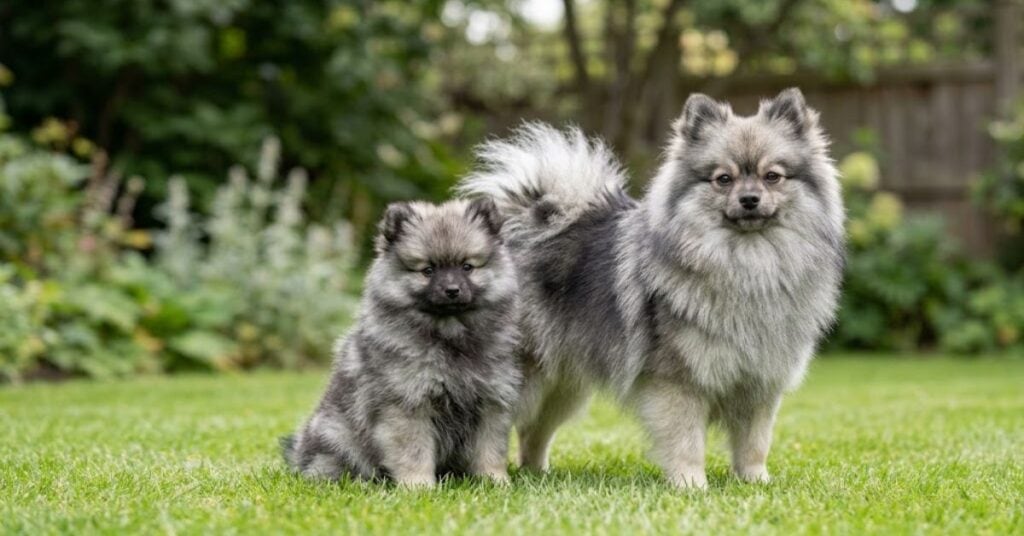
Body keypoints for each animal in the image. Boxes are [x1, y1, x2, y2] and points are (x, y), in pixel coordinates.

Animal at [282, 198, 521, 487]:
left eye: (467, 267)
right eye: (428, 270)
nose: (452, 290)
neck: (449, 336)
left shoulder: (490, 403)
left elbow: (490, 450)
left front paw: (495, 482)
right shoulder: (408, 404)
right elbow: (413, 451)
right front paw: (419, 486)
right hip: (338, 435)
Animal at [457, 88, 845, 488]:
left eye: (772, 177)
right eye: (723, 179)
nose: (749, 199)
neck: (746, 262)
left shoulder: (760, 383)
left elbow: (754, 442)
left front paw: (755, 480)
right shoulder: (679, 381)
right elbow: (686, 440)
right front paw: (692, 484)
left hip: (563, 385)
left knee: (533, 431)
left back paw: (538, 474)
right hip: (522, 376)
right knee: (492, 426)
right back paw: (492, 477)